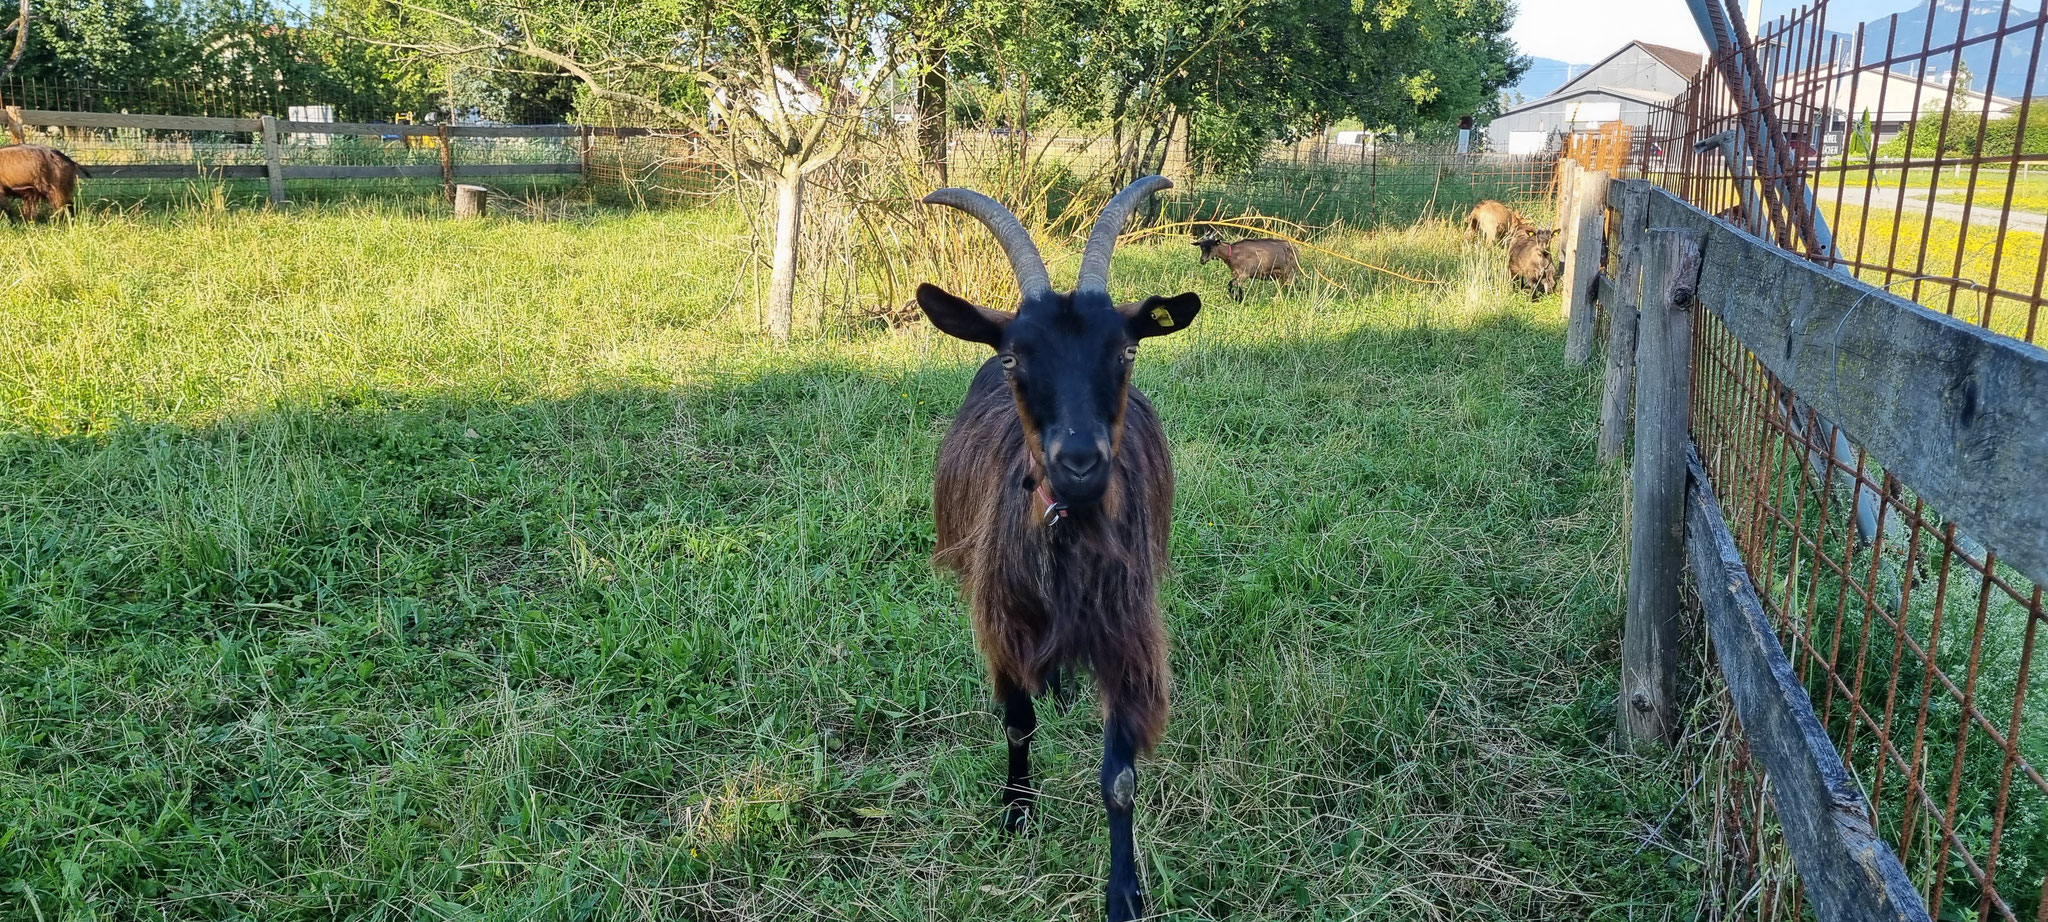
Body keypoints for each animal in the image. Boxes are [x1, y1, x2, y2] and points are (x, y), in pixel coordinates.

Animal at [917, 175, 1196, 922]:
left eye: (1126, 352)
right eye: (1016, 357)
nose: (1079, 461)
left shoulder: (1129, 634)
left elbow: (1120, 777)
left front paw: (1125, 892)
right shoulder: (1001, 622)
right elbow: (1018, 724)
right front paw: (1016, 812)